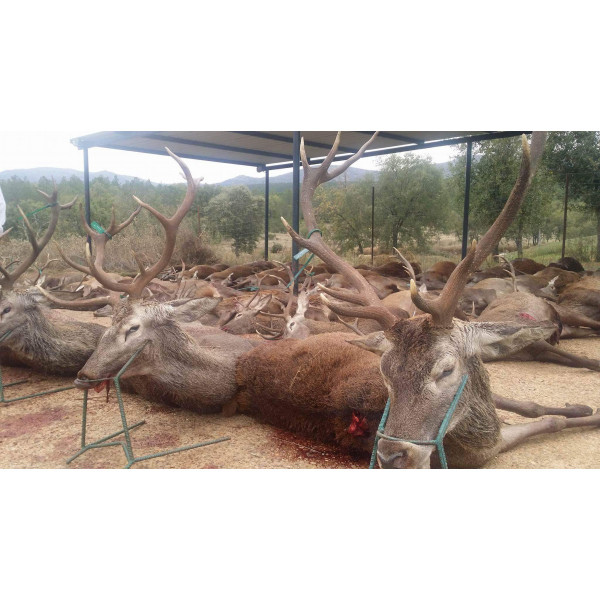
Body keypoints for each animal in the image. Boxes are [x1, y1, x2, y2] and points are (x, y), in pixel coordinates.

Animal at [274, 131, 600, 468]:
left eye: (446, 370)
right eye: (384, 371)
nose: (391, 456)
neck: (484, 437)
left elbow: (546, 415)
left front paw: (582, 408)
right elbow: (549, 419)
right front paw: (580, 409)